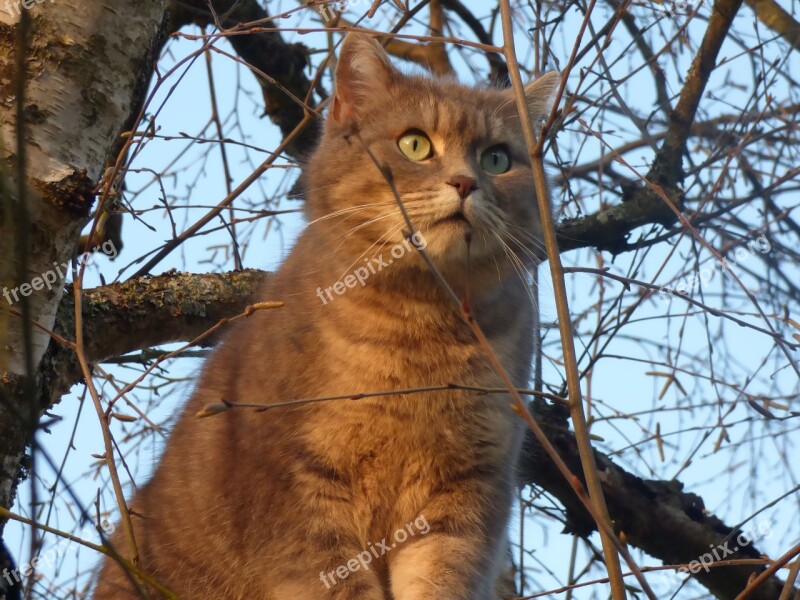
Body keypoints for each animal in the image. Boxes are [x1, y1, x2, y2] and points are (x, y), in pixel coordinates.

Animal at [92, 32, 556, 600]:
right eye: (415, 144)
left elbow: (441, 578)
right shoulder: (298, 490)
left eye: (496, 160)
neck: (419, 325)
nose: (466, 183)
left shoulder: (467, 490)